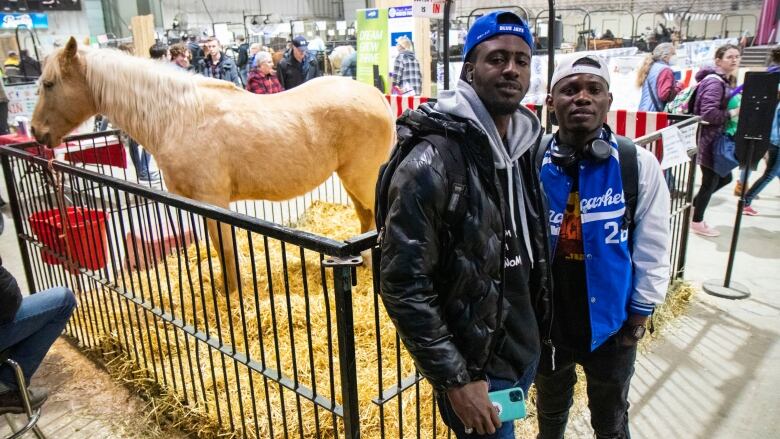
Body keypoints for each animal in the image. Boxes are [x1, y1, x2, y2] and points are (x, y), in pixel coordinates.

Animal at [31, 37, 396, 296]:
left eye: (48, 84)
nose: (36, 132)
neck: (177, 116)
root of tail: (377, 97)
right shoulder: (203, 204)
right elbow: (221, 250)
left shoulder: (213, 200)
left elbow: (226, 248)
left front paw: (234, 296)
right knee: (365, 220)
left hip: (362, 179)